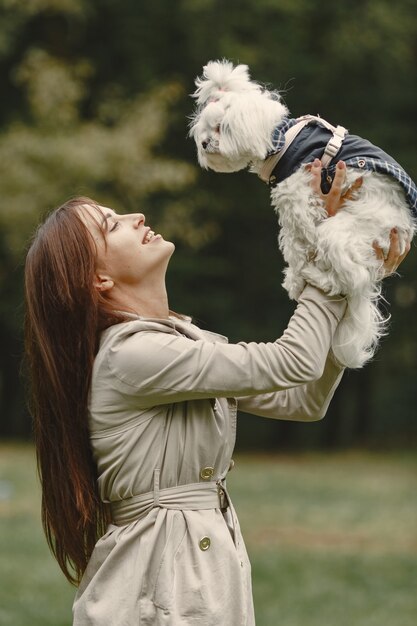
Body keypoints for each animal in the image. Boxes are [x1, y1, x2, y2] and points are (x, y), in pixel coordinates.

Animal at [189, 59, 416, 366]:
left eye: (220, 127)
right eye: (203, 130)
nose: (204, 144)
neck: (280, 139)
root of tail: (403, 224)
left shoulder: (296, 191)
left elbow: (304, 236)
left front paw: (301, 271)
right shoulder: (291, 206)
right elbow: (294, 244)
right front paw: (295, 280)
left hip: (348, 230)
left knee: (353, 276)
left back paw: (319, 278)